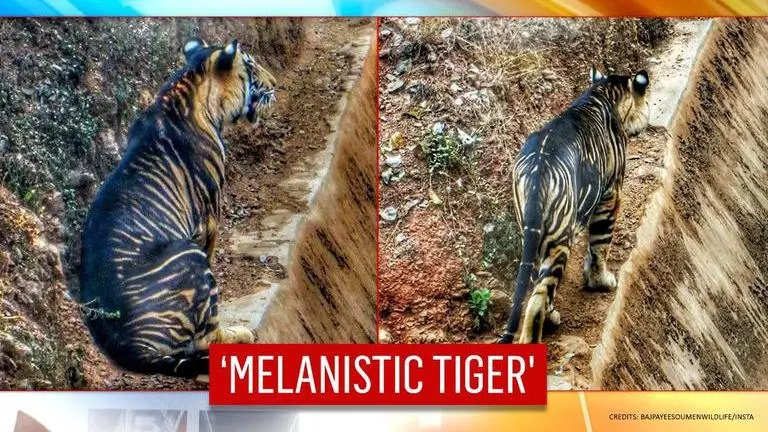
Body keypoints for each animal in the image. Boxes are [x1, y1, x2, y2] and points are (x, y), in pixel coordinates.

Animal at [78, 37, 277, 377]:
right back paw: (242, 334)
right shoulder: (210, 216)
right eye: (251, 65)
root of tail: (131, 348)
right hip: (189, 256)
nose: (275, 84)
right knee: (207, 338)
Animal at [499, 66, 650, 344]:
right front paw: (601, 281)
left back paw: (551, 318)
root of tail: (537, 170)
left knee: (538, 286)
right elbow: (601, 244)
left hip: (533, 235)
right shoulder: (611, 194)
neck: (601, 91)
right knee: (537, 299)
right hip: (559, 239)